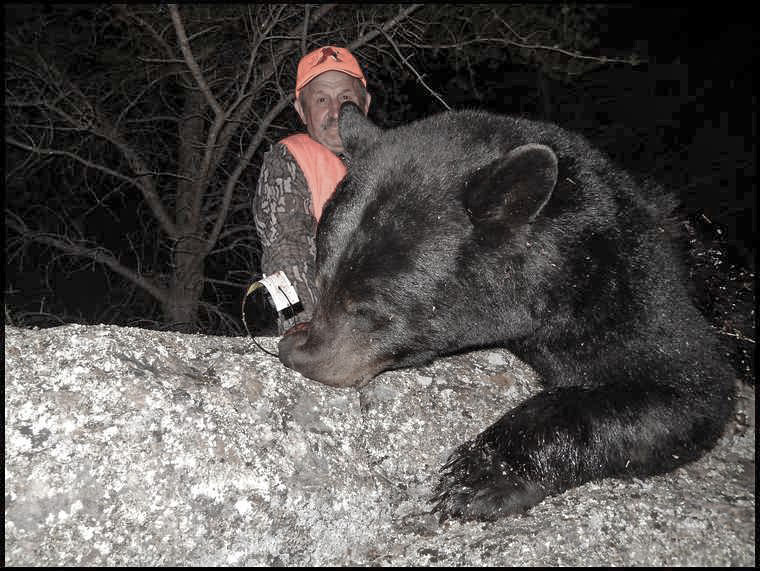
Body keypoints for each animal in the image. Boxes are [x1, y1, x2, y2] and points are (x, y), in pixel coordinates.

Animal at [277, 102, 736, 521]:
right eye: (321, 277)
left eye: (369, 307)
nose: (299, 353)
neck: (565, 264)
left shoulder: (630, 281)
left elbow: (684, 386)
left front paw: (479, 475)